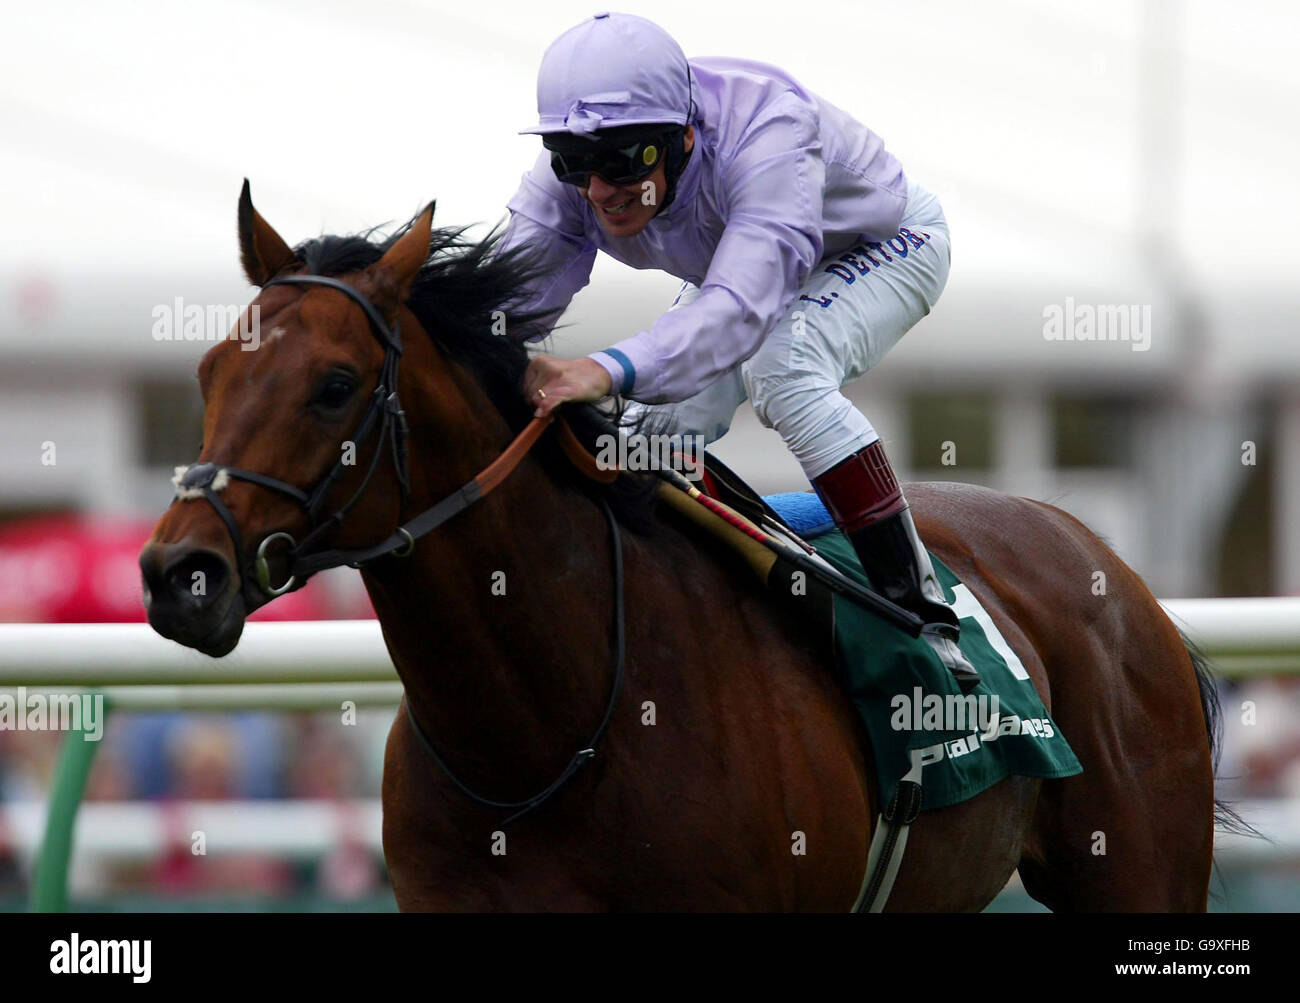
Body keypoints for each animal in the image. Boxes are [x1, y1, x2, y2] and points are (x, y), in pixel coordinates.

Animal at [137, 184, 1232, 914]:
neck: (548, 727)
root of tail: (1106, 560)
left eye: (333, 384)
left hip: (1138, 872)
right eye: (207, 370)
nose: (178, 573)